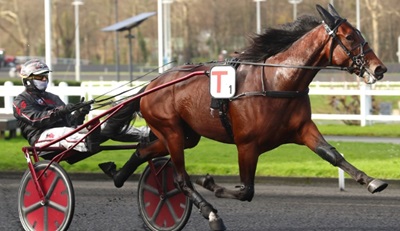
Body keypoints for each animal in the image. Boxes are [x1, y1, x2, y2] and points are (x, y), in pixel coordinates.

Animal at [101, 4, 388, 231]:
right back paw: (210, 213)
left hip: (185, 135)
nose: (380, 68)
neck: (277, 82)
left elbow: (332, 154)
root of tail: (150, 85)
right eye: (350, 36)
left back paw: (118, 175)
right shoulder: (247, 144)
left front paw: (372, 181)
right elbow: (246, 191)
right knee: (180, 180)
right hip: (171, 130)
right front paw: (211, 183)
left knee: (143, 150)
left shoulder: (303, 129)